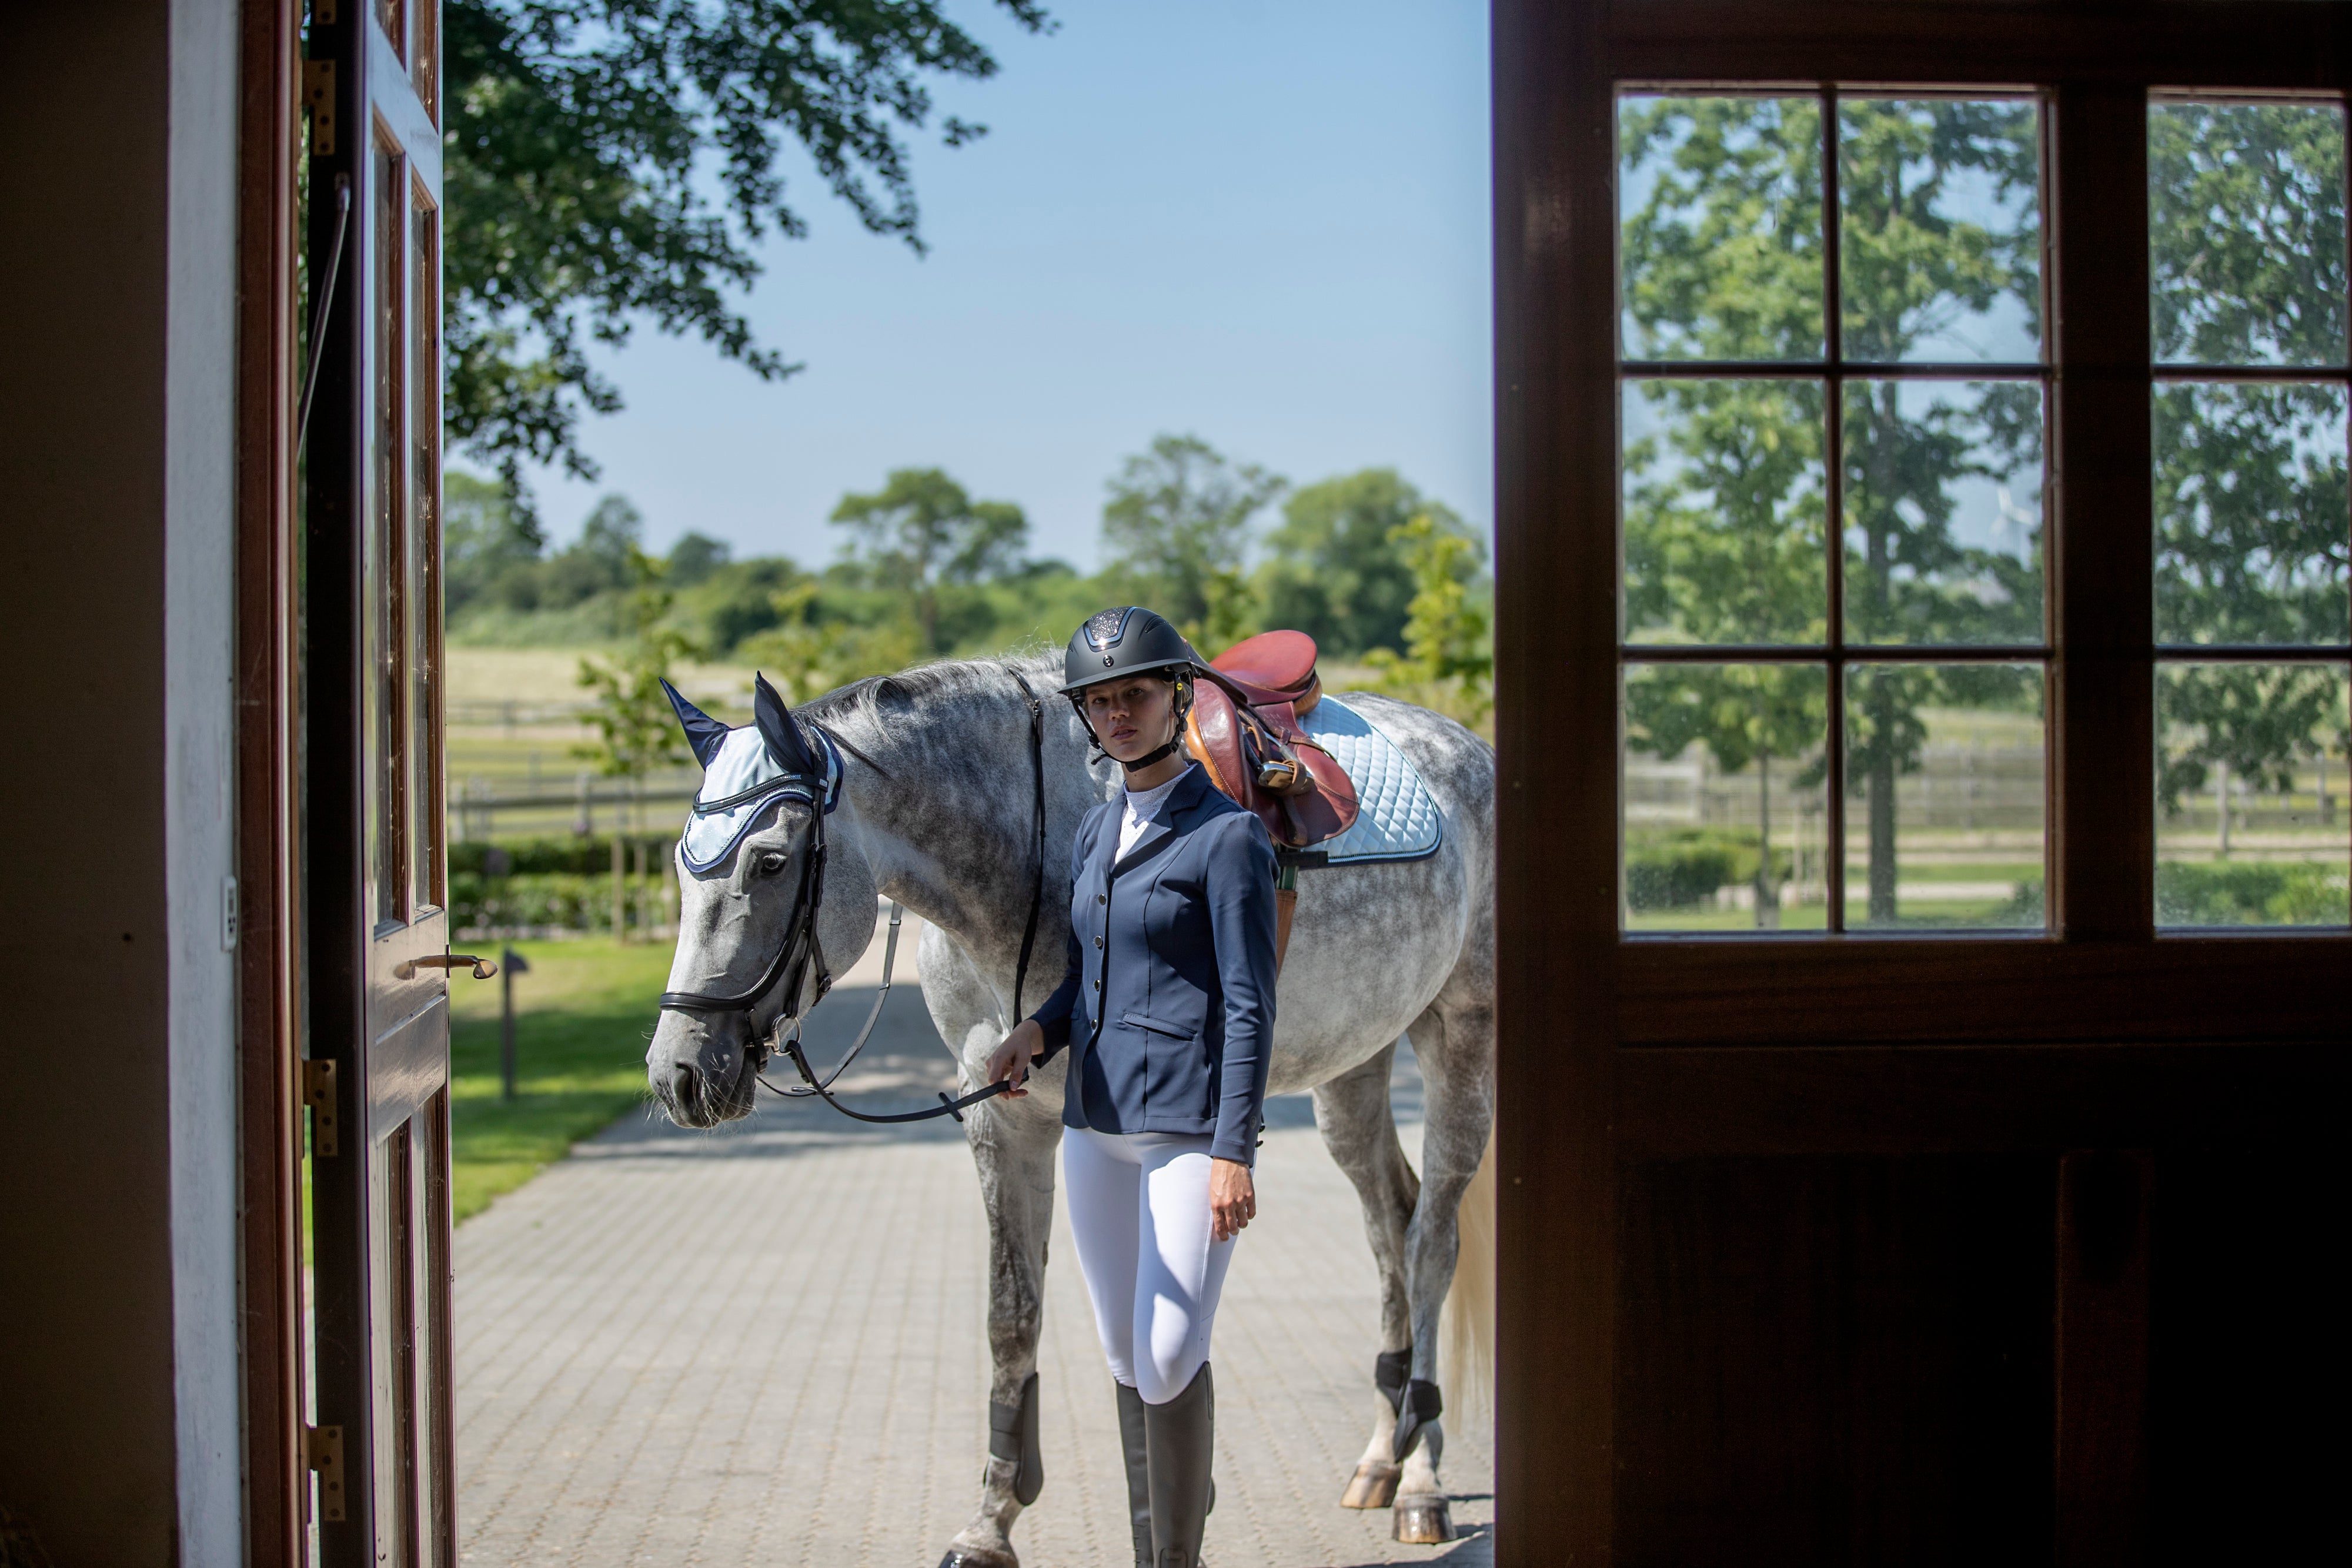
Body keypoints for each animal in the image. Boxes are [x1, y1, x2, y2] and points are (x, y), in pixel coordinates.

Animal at [645, 653, 1497, 1566]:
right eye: (680, 865)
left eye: (769, 862)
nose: (680, 1069)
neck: (1030, 851)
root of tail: (1470, 749)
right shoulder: (1005, 1119)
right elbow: (1012, 1315)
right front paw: (991, 1520)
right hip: (1355, 1067)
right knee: (1389, 1223)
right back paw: (1381, 1456)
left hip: (1459, 1038)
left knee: (1432, 1242)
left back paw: (1423, 1478)